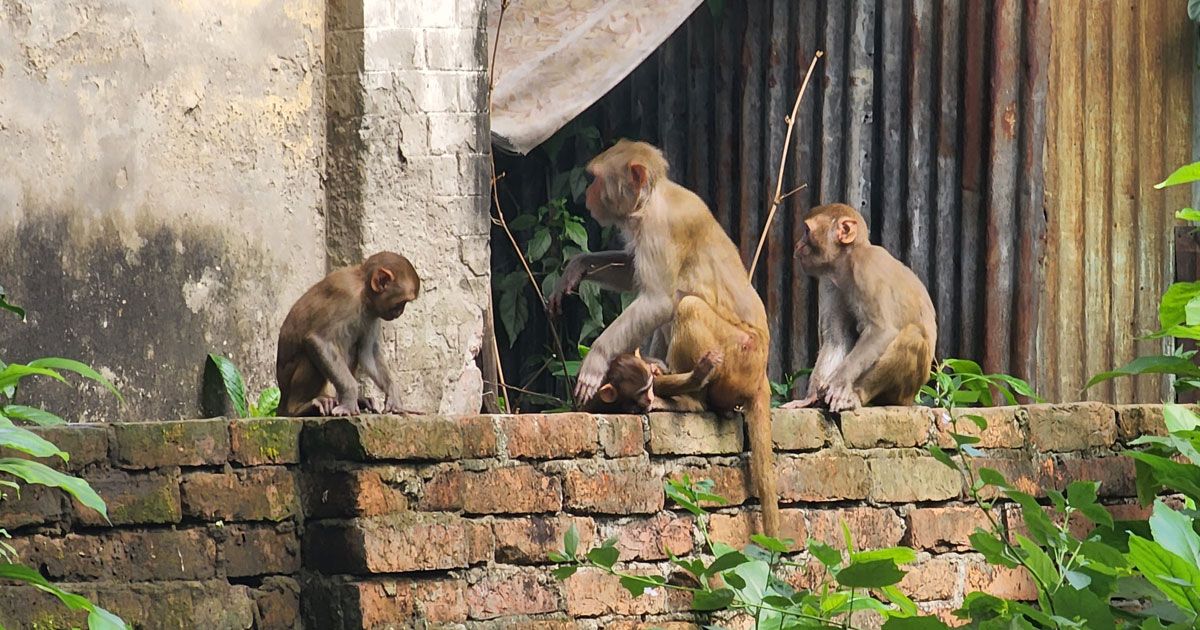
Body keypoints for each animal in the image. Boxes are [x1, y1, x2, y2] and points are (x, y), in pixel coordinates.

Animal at [276, 250, 422, 417]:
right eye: (401, 302)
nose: (400, 312)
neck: (363, 291)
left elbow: (368, 354)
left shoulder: (372, 314)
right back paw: (300, 407)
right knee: (311, 356)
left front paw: (393, 394)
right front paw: (349, 400)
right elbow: (319, 341)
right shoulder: (346, 295)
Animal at [549, 138, 782, 535]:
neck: (653, 198)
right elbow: (634, 275)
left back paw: (688, 397)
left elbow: (657, 300)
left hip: (740, 357)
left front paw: (595, 362)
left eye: (595, 179)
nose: (587, 195)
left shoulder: (659, 227)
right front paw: (577, 266)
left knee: (685, 305)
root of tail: (761, 374)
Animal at [782, 202, 940, 412]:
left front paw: (838, 384)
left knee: (912, 336)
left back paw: (855, 396)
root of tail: (911, 398)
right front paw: (811, 396)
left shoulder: (866, 268)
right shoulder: (830, 282)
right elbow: (837, 338)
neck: (847, 260)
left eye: (807, 231)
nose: (798, 245)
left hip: (905, 390)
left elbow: (881, 331)